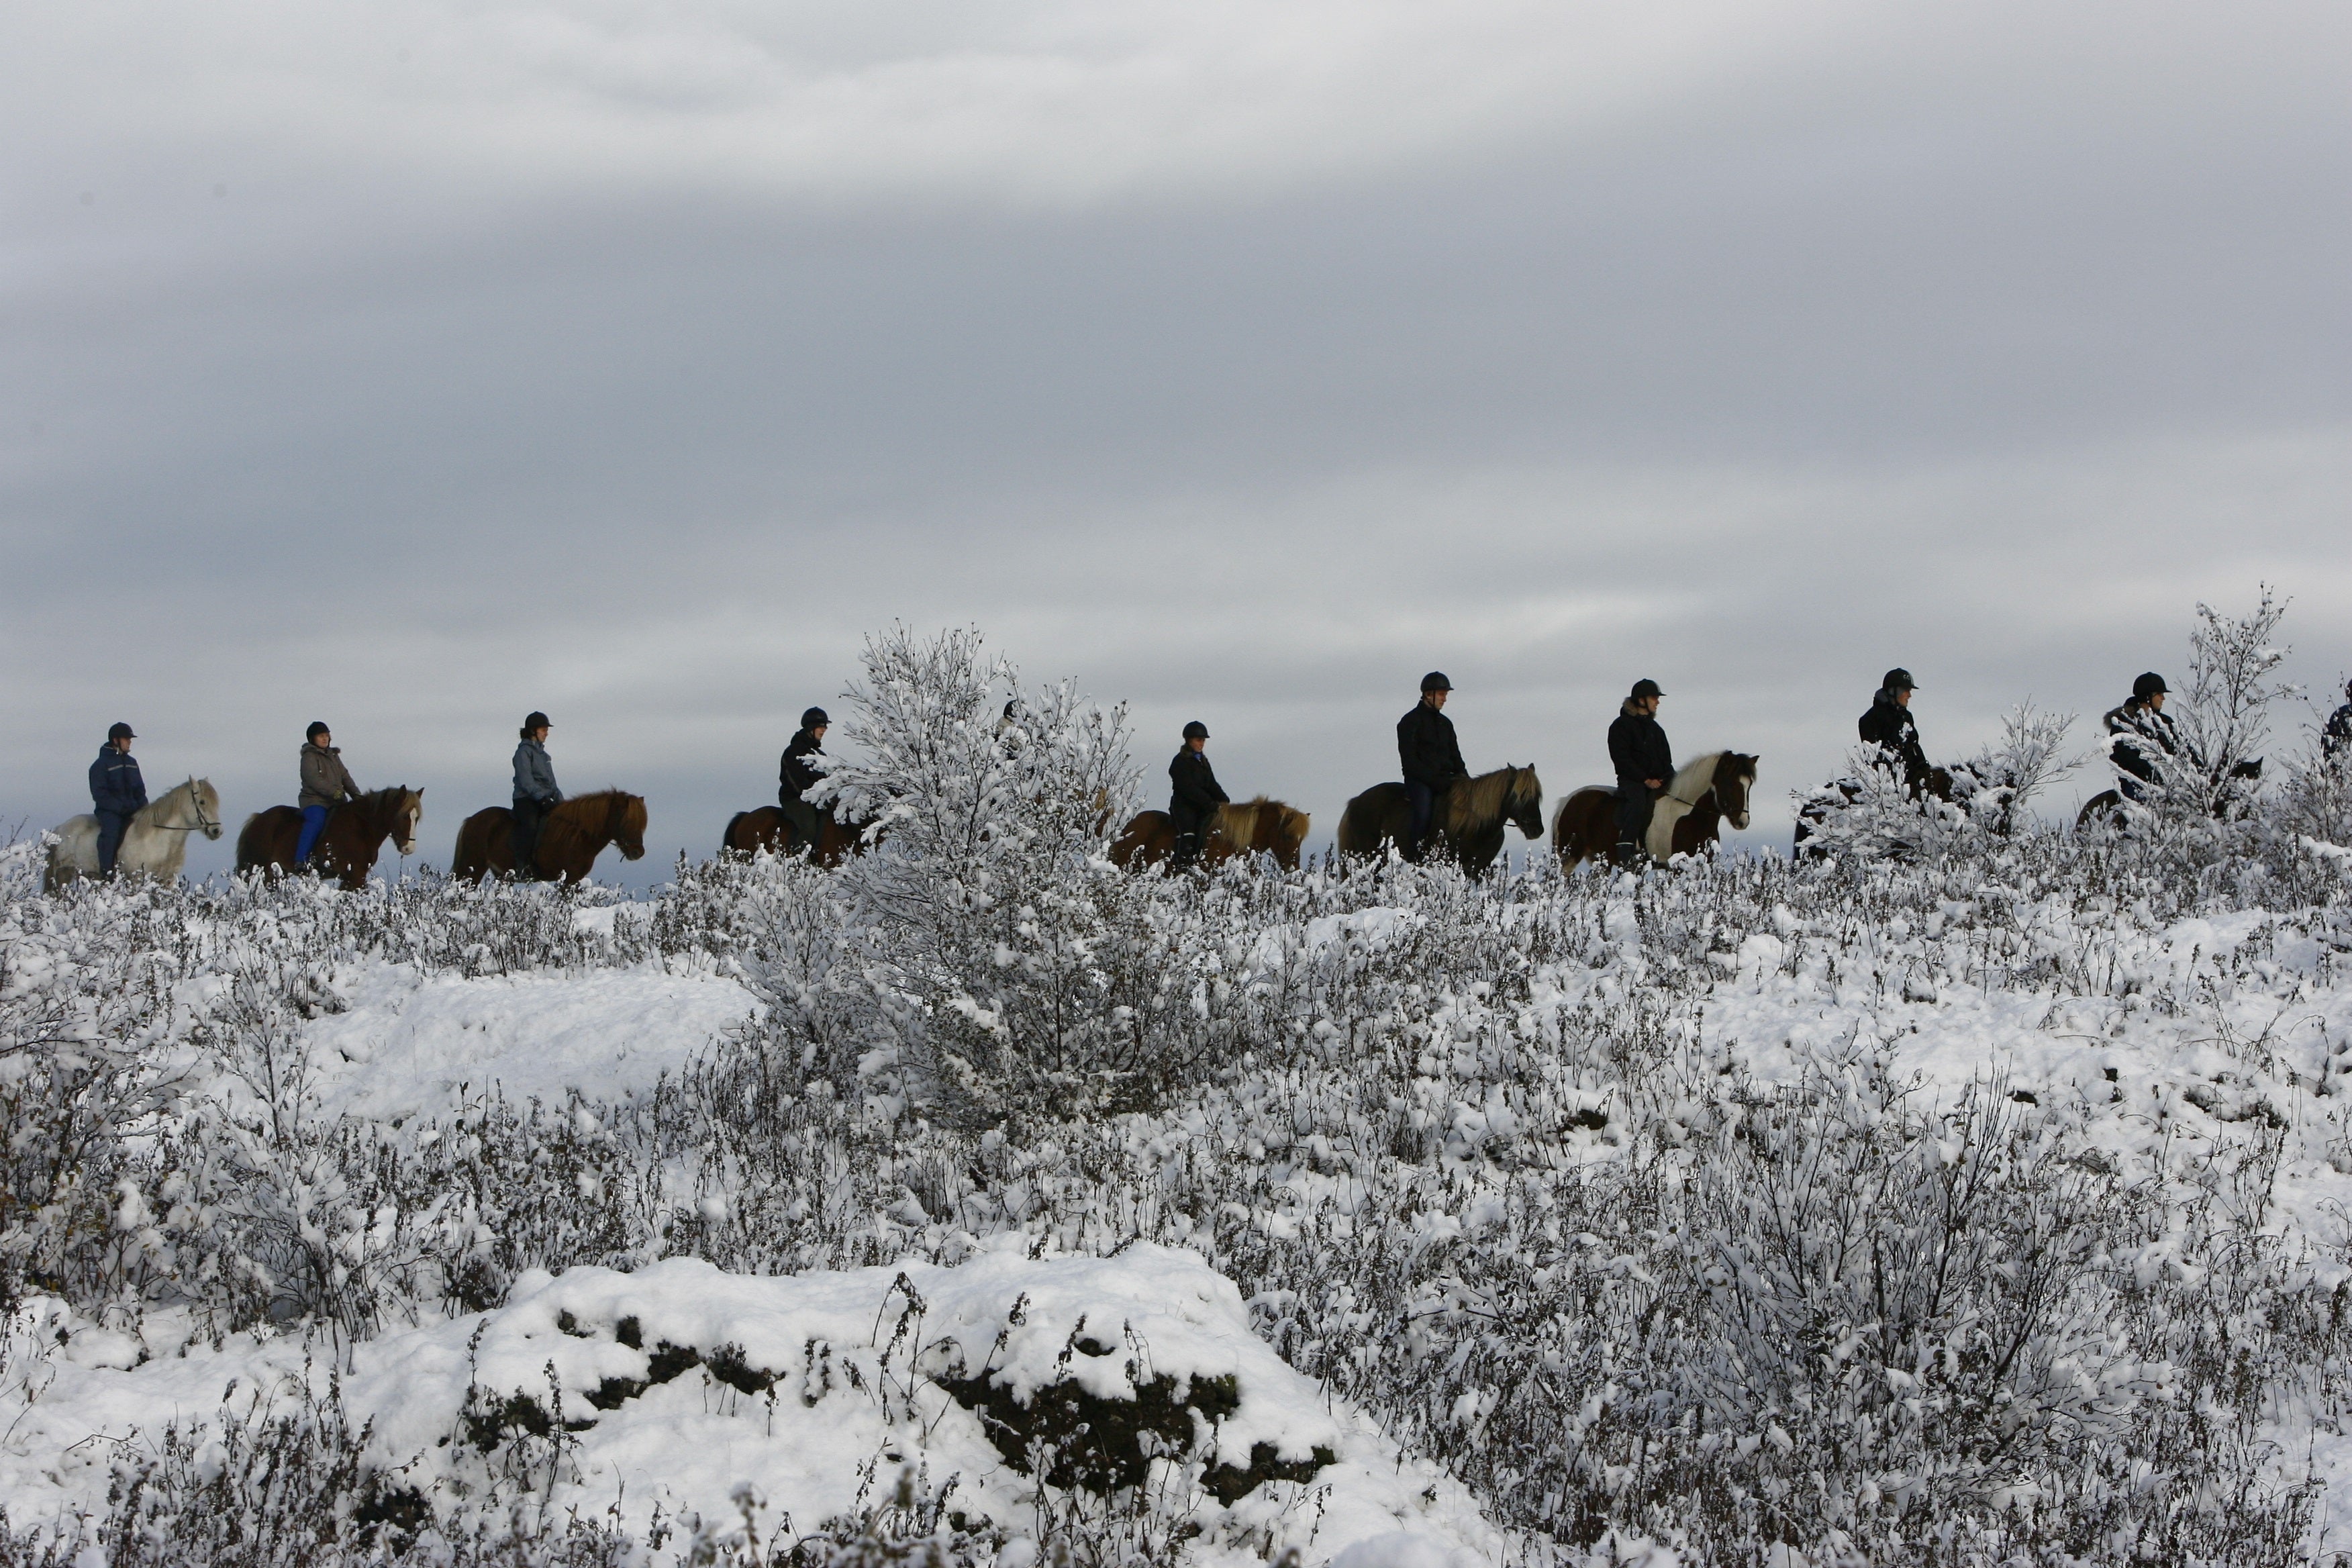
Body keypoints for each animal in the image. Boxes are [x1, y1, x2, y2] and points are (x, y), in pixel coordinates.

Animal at [45, 778, 225, 892]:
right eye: (202, 802)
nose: (217, 831)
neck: (161, 840)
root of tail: (60, 829)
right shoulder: (138, 879)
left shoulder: (167, 881)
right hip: (62, 873)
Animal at [237, 788, 425, 890]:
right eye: (404, 816)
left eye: (416, 818)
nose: (409, 848)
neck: (361, 827)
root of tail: (258, 819)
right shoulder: (356, 875)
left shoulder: (351, 877)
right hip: (261, 869)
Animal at [452, 790, 647, 883]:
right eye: (626, 821)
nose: (638, 852)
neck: (578, 834)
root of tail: (471, 820)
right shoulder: (570, 877)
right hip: (472, 868)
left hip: (503, 876)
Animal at [1334, 766, 1543, 871]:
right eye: (1518, 795)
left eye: (1537, 796)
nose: (1537, 830)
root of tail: (1356, 801)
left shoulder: (1478, 869)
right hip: (1368, 856)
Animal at [1555, 752, 1758, 870]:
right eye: (1730, 783)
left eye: (1749, 785)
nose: (1742, 822)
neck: (1690, 815)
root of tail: (1568, 800)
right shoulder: (1677, 865)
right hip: (1570, 857)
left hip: (1600, 861)